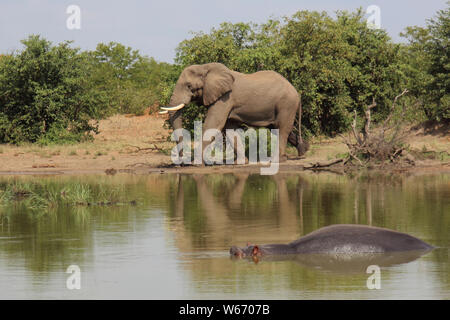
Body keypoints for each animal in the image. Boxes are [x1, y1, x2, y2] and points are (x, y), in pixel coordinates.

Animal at [159, 62, 310, 162]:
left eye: (189, 86)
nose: (181, 161)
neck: (206, 67)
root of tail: (296, 91)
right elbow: (230, 129)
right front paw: (241, 162)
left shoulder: (225, 98)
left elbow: (213, 124)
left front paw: (196, 163)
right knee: (277, 128)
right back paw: (303, 151)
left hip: (286, 104)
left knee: (282, 128)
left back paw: (277, 160)